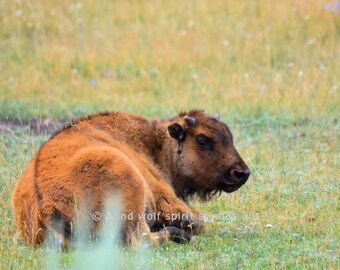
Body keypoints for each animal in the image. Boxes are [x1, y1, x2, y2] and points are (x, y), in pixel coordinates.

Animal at [11, 109, 250, 247]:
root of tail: (47, 208)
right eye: (203, 140)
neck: (155, 144)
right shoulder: (168, 201)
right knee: (141, 239)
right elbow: (198, 222)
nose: (242, 173)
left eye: (229, 136)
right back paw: (177, 235)